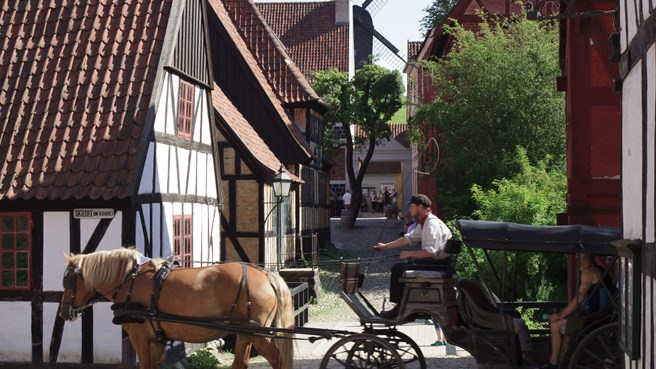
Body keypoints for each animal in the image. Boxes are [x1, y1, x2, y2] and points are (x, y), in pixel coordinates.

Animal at [59, 247, 294, 368]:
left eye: (68, 281)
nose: (63, 312)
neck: (130, 279)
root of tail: (265, 274)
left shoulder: (139, 337)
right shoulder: (156, 339)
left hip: (258, 334)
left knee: (277, 360)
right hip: (245, 333)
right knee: (240, 363)